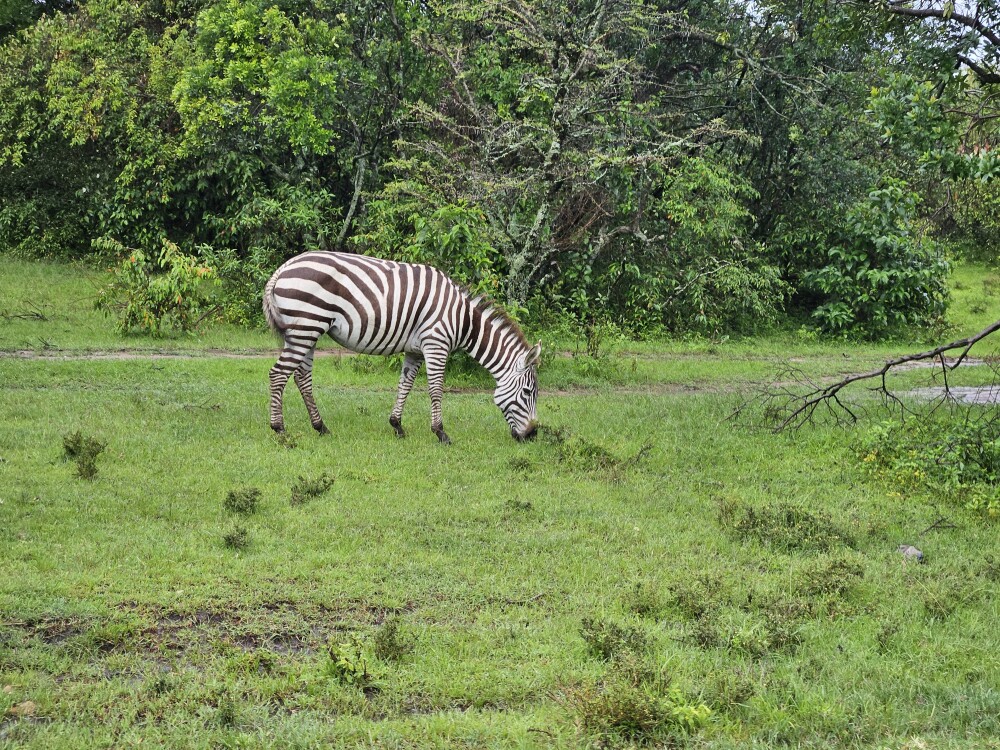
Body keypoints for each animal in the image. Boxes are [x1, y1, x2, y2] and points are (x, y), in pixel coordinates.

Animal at [262, 251, 541, 443]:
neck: (463, 320)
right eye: (528, 392)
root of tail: (284, 267)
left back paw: (320, 427)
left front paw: (397, 425)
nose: (532, 435)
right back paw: (279, 429)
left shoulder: (415, 350)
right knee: (278, 374)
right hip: (306, 327)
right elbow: (436, 389)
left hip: (307, 331)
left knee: (301, 377)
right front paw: (441, 433)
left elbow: (405, 385)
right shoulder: (436, 344)